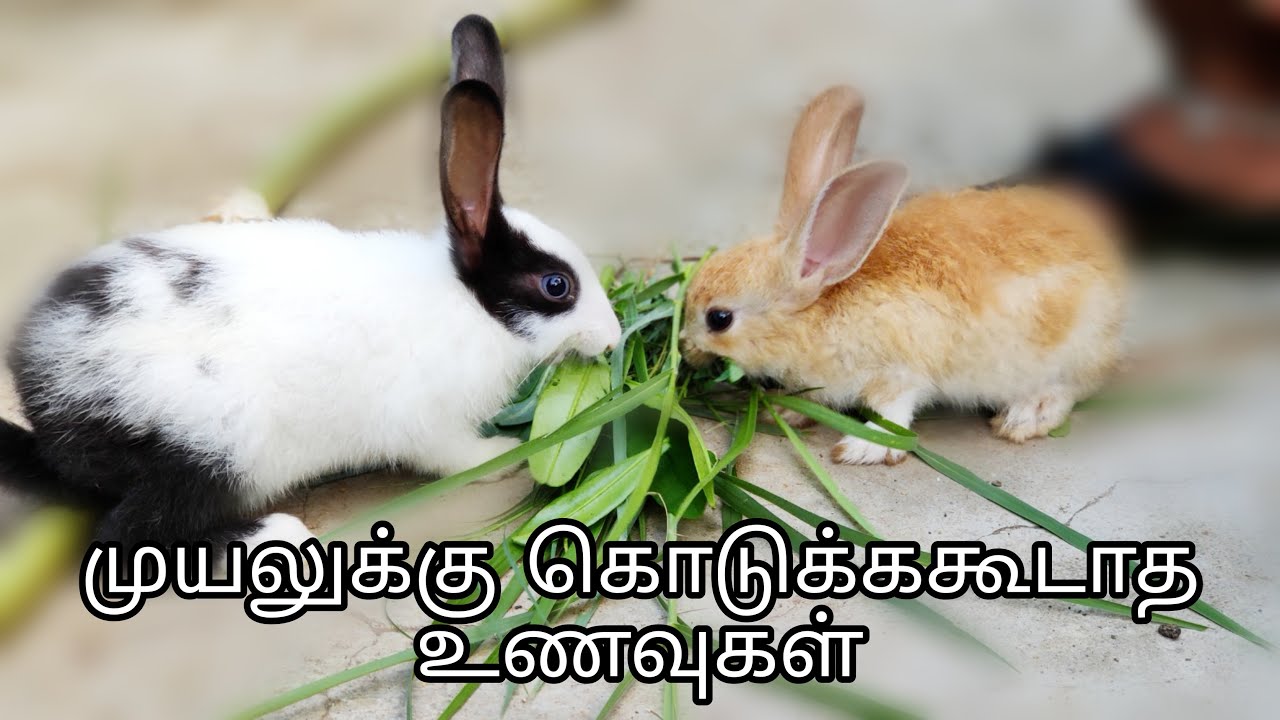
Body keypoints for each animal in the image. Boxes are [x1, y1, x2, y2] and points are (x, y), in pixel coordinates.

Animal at [0, 15, 621, 550]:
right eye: (556, 286)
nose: (613, 338)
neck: (468, 305)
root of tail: (44, 410)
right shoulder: (428, 423)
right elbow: (458, 457)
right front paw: (508, 452)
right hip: (209, 456)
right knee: (129, 533)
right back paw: (275, 534)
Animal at [681, 85, 1126, 465]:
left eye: (719, 318)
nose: (686, 349)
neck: (823, 308)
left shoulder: (898, 373)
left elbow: (893, 415)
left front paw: (859, 449)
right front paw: (788, 411)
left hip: (1068, 352)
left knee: (1069, 388)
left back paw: (1023, 418)